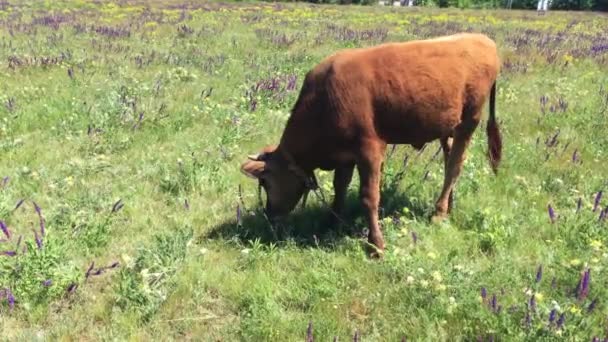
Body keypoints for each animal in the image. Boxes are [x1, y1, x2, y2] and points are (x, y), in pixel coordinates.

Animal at [240, 32, 502, 256]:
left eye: (265, 182)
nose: (269, 215)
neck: (324, 101)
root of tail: (483, 39)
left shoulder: (370, 149)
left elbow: (369, 197)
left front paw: (376, 244)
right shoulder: (344, 155)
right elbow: (340, 188)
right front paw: (332, 222)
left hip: (469, 120)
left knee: (454, 166)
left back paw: (438, 212)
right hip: (446, 127)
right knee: (450, 160)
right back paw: (448, 205)